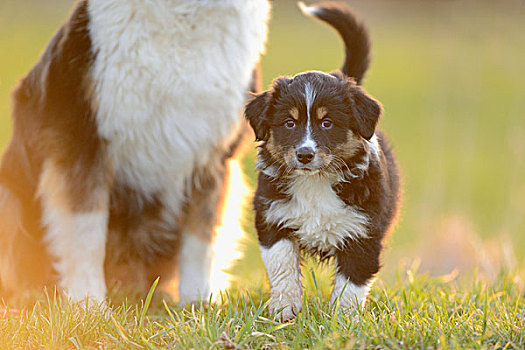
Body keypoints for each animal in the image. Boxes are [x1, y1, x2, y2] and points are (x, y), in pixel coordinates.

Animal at [0, 0, 270, 304]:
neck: (181, 17)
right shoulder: (82, 138)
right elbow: (86, 231)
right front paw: (88, 304)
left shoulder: (213, 152)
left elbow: (201, 237)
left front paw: (198, 302)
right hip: (7, 195)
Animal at [244, 1, 400, 322]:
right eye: (289, 123)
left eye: (327, 123)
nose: (305, 154)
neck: (315, 183)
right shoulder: (272, 216)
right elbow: (282, 266)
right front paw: (285, 310)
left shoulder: (365, 232)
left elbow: (352, 284)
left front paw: (344, 321)